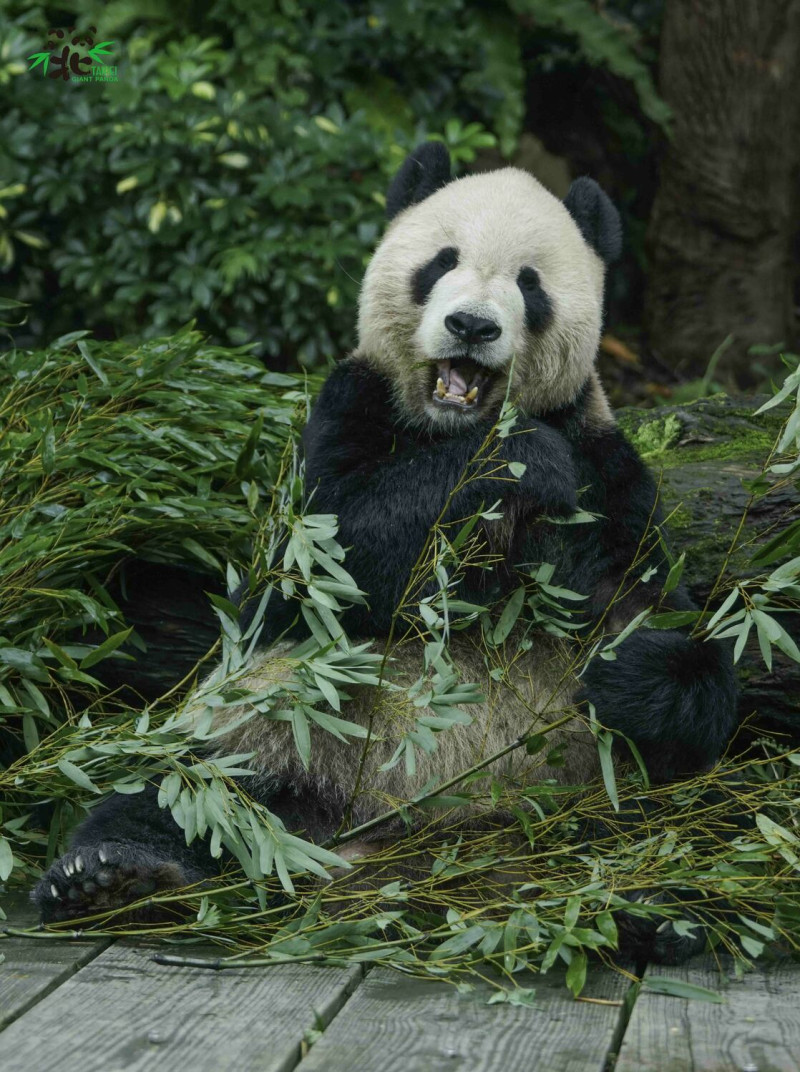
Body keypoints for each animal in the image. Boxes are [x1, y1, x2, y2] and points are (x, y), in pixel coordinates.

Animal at [35, 142, 733, 956]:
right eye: (442, 262)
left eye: (530, 283)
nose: (471, 325)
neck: (453, 426)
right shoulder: (348, 411)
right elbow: (318, 564)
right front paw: (516, 459)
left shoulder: (607, 467)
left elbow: (667, 624)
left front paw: (626, 666)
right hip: (280, 744)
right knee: (186, 788)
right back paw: (112, 877)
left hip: (597, 800)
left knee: (691, 828)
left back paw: (657, 907)